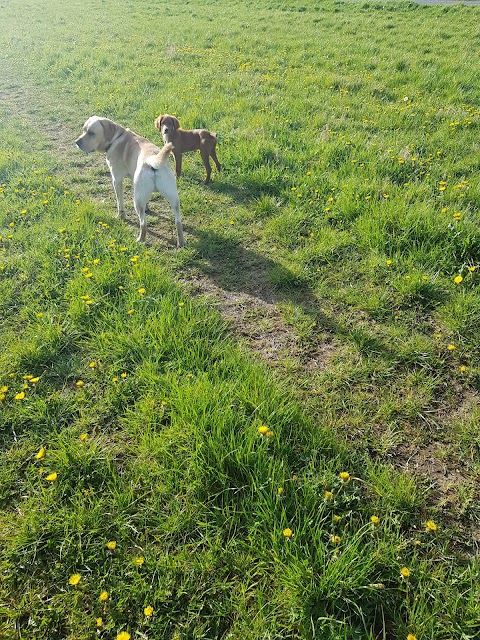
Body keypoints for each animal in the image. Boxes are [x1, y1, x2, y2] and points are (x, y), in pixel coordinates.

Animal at [76, 114, 185, 246]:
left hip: (137, 202)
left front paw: (121, 216)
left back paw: (140, 240)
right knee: (178, 222)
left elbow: (120, 202)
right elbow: (146, 201)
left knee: (143, 223)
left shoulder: (116, 180)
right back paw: (181, 242)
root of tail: (153, 160)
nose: (77, 142)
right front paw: (147, 207)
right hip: (174, 199)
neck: (116, 137)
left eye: (91, 133)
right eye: (84, 130)